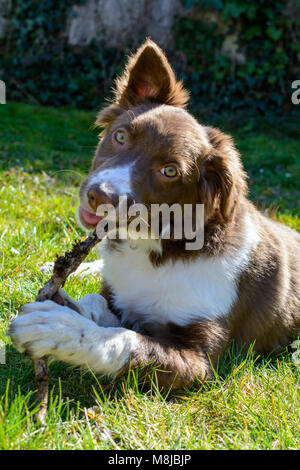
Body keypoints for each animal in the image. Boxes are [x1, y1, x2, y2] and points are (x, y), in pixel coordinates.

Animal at [8, 40, 300, 388]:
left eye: (170, 171)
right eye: (120, 136)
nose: (99, 196)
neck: (155, 247)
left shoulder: (201, 361)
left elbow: (124, 339)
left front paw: (58, 329)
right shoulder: (116, 292)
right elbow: (99, 302)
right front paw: (71, 307)